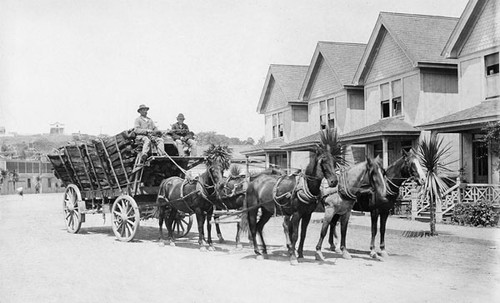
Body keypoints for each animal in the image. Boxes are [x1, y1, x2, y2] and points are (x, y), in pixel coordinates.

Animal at [242, 129, 344, 266]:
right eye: (323, 161)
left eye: (334, 161)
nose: (334, 181)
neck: (305, 187)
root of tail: (253, 181)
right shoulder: (296, 214)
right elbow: (295, 234)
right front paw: (293, 257)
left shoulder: (307, 215)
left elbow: (303, 234)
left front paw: (300, 254)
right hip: (253, 209)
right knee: (253, 227)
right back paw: (257, 252)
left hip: (267, 211)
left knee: (259, 226)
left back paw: (265, 251)